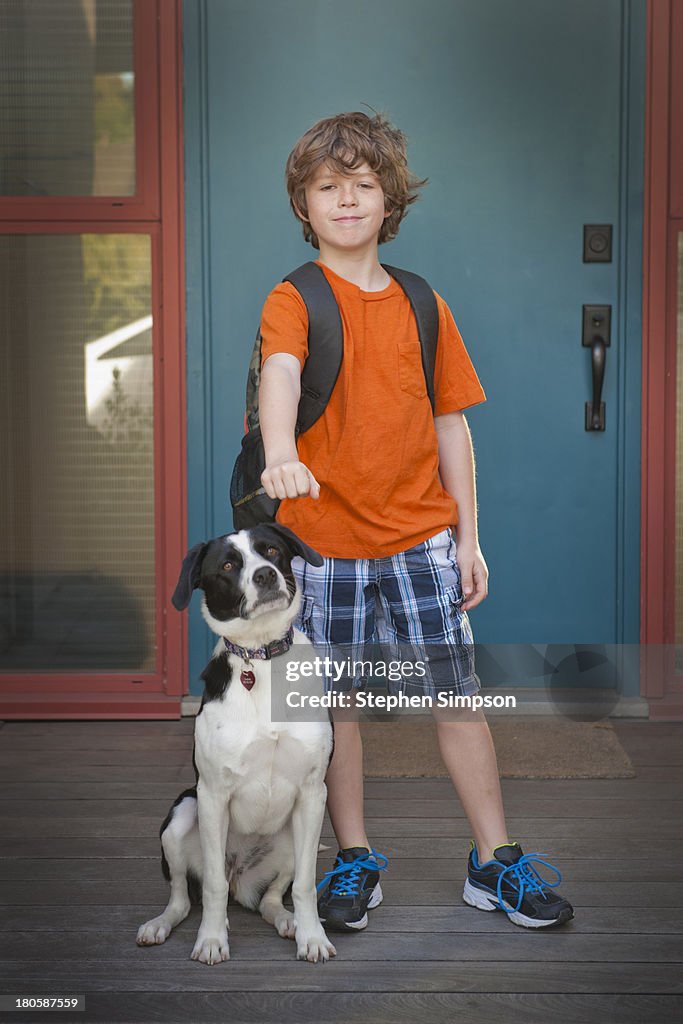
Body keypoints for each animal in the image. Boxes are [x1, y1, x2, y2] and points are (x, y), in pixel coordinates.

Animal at [136, 524, 335, 962]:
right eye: (228, 566)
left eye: (272, 551)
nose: (265, 576)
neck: (260, 659)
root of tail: (240, 876)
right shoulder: (212, 794)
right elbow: (211, 886)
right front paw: (211, 940)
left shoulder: (313, 793)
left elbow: (306, 885)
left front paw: (312, 937)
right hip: (181, 815)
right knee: (185, 897)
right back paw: (160, 925)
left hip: (291, 840)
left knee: (270, 899)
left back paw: (287, 922)